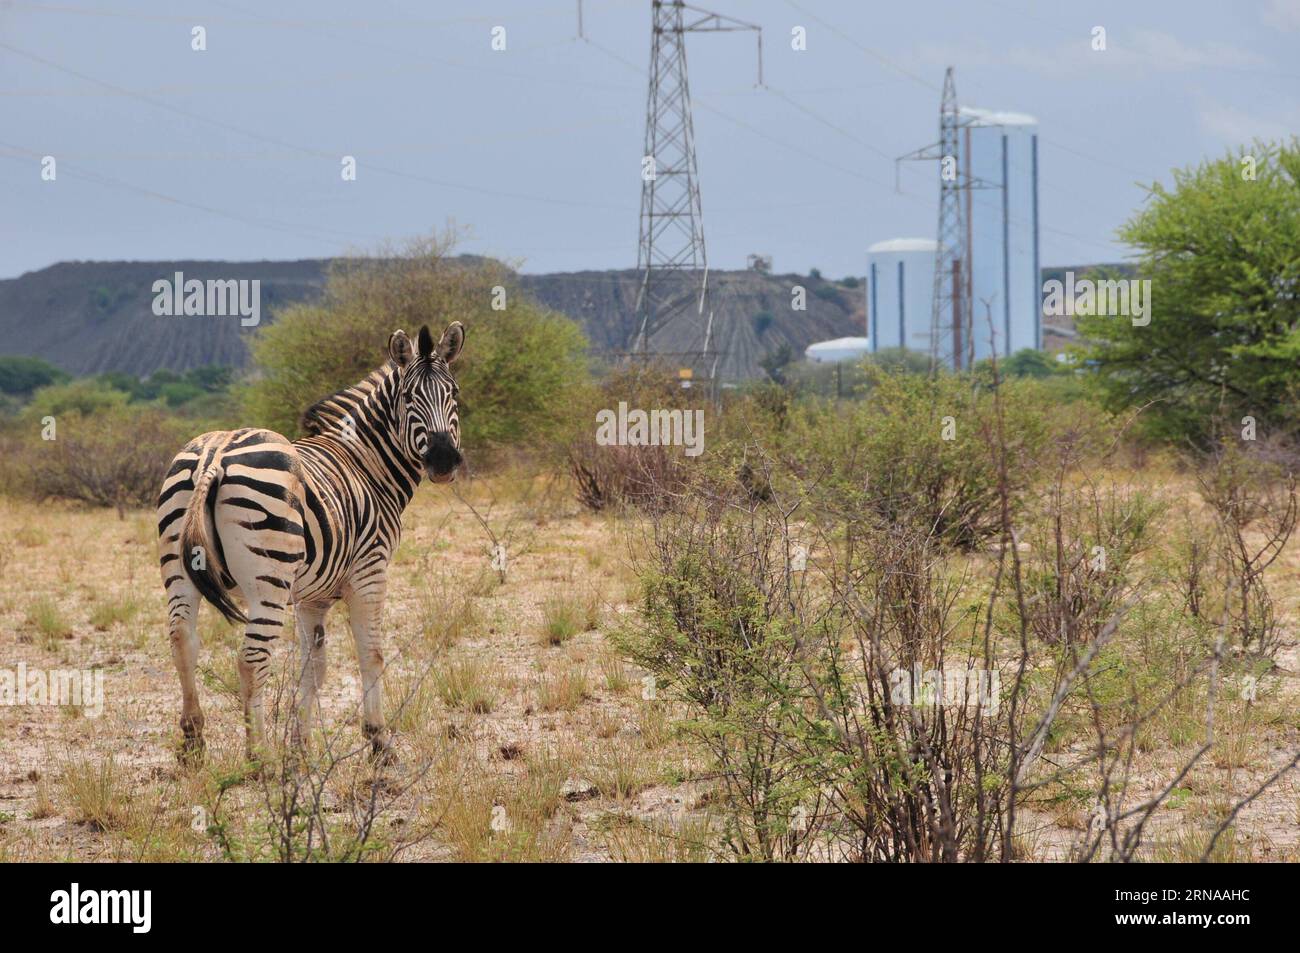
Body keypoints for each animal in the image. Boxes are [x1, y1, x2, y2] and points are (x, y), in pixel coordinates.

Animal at [157, 323, 465, 764]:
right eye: (408, 398)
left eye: (453, 393)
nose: (443, 461)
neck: (366, 464)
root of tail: (216, 453)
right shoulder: (370, 571)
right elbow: (371, 653)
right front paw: (378, 740)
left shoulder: (311, 597)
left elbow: (313, 667)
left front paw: (301, 747)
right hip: (268, 580)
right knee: (251, 659)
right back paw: (258, 757)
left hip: (179, 568)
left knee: (182, 640)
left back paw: (193, 743)